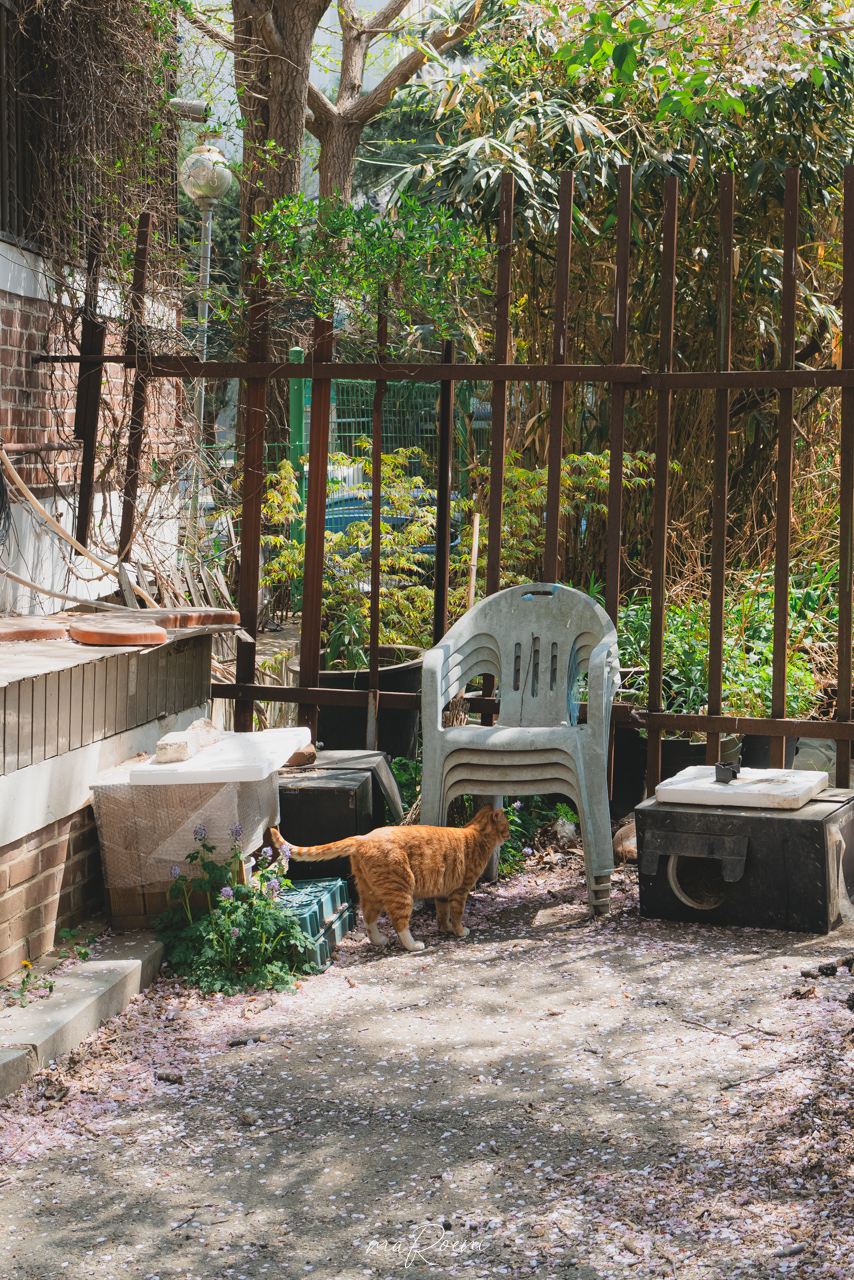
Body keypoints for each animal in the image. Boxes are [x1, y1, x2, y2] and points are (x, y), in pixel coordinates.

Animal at [267, 806, 510, 953]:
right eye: (507, 825)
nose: (509, 834)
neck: (477, 834)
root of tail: (362, 837)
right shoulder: (460, 891)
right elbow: (457, 915)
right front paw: (459, 931)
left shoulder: (443, 894)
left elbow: (442, 914)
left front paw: (445, 929)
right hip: (402, 890)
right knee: (399, 923)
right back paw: (414, 945)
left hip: (371, 893)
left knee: (368, 918)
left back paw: (379, 940)